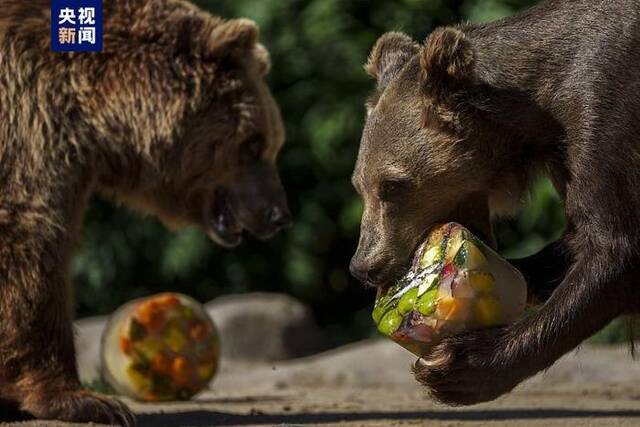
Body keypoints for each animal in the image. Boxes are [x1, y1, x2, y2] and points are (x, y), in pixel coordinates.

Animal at [0, 0, 290, 424]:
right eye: (253, 143)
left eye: (272, 142)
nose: (277, 214)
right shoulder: (29, 118)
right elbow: (30, 237)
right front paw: (87, 400)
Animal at [352, 0, 636, 408]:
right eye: (359, 185)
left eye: (391, 186)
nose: (364, 266)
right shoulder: (565, 157)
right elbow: (576, 239)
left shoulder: (607, 113)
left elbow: (614, 250)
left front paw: (459, 368)